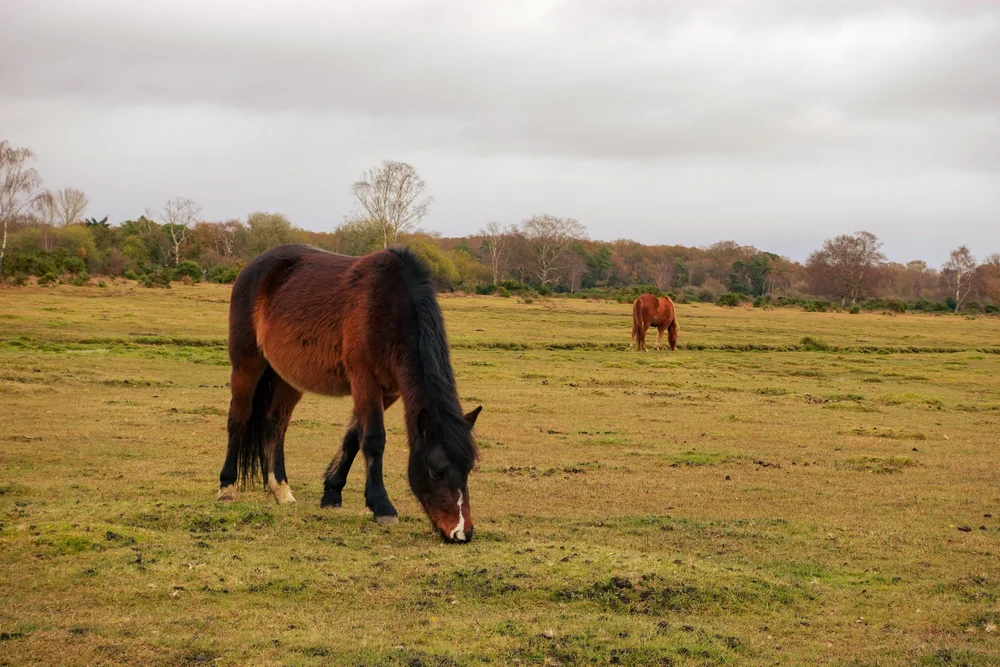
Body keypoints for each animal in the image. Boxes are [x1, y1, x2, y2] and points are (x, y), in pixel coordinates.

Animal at [216, 244, 483, 544]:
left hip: (287, 377)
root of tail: (253, 266)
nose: (462, 532)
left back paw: (281, 489)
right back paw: (227, 487)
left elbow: (354, 437)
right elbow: (374, 439)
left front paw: (332, 492)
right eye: (436, 471)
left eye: (468, 469)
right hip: (247, 365)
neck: (391, 307)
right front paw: (382, 506)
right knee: (239, 419)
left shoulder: (388, 391)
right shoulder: (364, 381)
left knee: (275, 424)